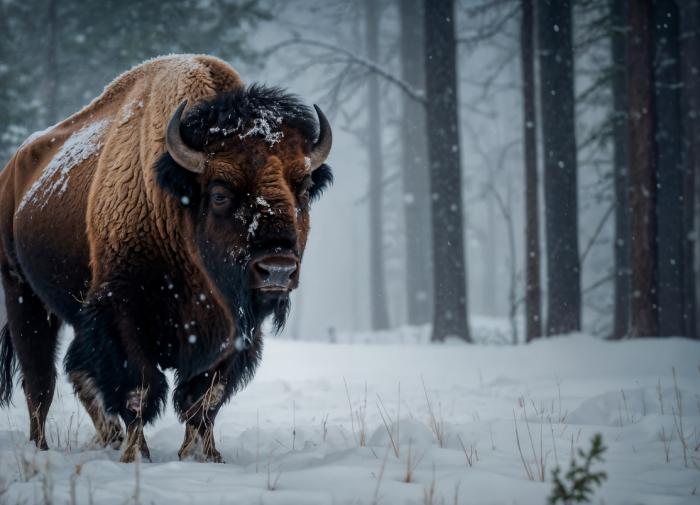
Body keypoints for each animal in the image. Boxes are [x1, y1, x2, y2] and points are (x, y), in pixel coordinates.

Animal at [0, 54, 334, 460]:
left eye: (302, 188)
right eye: (220, 194)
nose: (277, 270)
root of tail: (13, 170)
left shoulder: (235, 332)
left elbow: (204, 397)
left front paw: (204, 456)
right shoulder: (122, 311)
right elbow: (140, 388)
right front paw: (136, 456)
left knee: (76, 374)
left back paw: (107, 438)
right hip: (23, 294)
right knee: (40, 382)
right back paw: (42, 449)